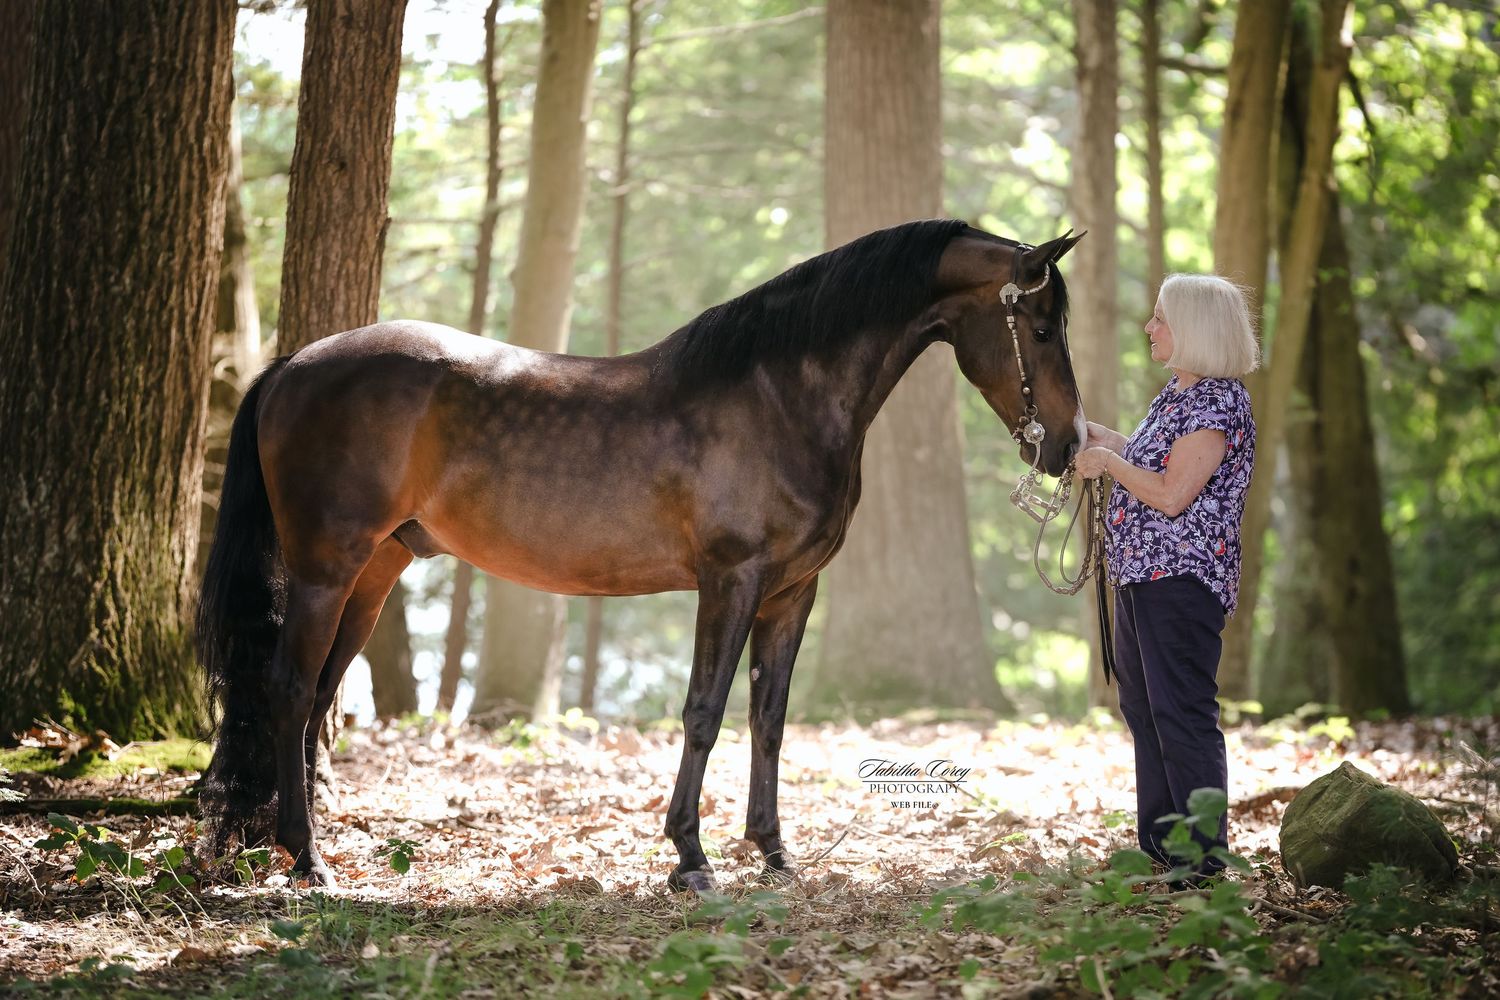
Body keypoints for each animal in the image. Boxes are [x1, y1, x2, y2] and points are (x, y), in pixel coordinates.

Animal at [197, 218, 1086, 891]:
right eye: (1042, 329)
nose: (1069, 446)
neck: (778, 398)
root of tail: (293, 365)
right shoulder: (730, 580)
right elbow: (703, 713)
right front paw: (690, 858)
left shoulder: (791, 592)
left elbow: (768, 719)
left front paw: (773, 853)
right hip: (325, 570)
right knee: (289, 690)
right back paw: (308, 861)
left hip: (375, 573)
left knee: (318, 698)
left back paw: (307, 844)